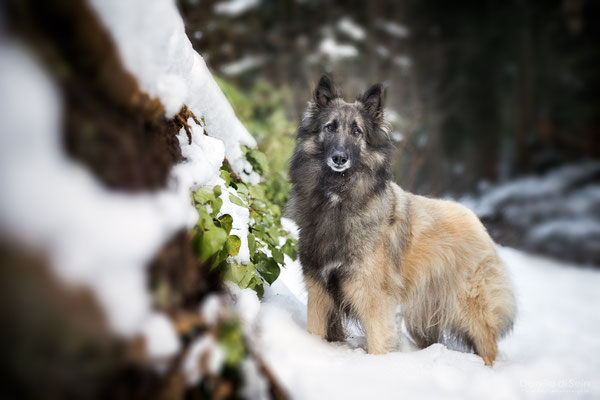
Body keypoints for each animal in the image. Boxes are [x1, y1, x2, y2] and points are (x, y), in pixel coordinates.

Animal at [286, 74, 516, 366]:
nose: (339, 158)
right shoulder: (318, 293)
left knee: (488, 347)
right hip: (424, 317)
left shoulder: (373, 301)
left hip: (471, 311)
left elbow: (378, 345)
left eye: (357, 132)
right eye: (330, 127)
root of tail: (476, 220)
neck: (338, 199)